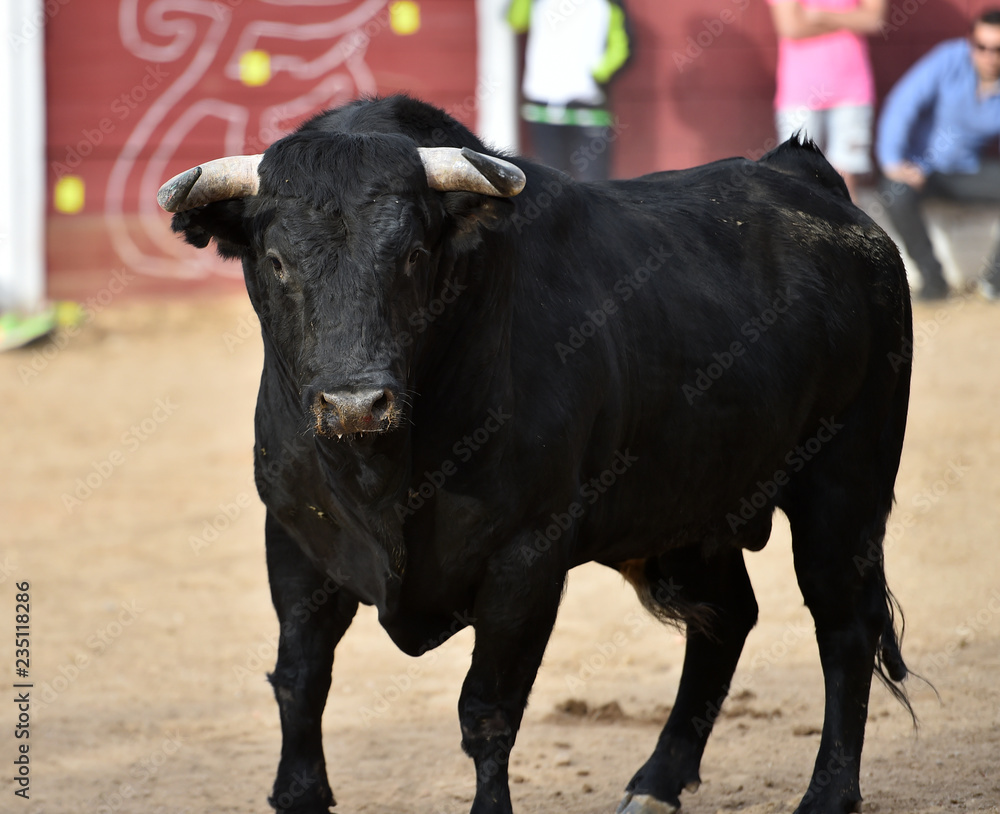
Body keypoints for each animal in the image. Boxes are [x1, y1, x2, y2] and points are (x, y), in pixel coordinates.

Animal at [164, 97, 916, 814]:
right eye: (276, 261)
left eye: (411, 256)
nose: (355, 404)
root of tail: (805, 179)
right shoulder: (295, 539)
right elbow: (300, 681)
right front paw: (298, 794)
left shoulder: (525, 557)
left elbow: (488, 708)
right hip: (689, 510)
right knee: (728, 617)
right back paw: (656, 782)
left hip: (844, 487)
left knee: (844, 626)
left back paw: (826, 794)